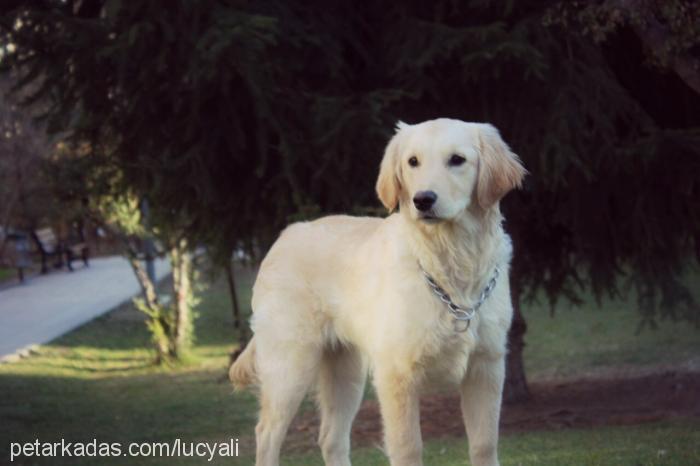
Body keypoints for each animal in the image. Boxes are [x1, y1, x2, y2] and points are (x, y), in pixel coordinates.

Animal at [230, 118, 524, 464]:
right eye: (413, 161)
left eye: (457, 160)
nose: (423, 200)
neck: (451, 265)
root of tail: (285, 235)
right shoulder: (396, 374)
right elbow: (408, 448)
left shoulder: (486, 367)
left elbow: (484, 445)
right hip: (290, 366)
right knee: (267, 435)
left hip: (346, 372)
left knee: (331, 438)